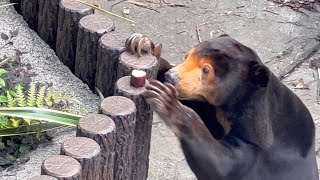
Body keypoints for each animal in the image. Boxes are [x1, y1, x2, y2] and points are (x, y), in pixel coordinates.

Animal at [125, 33, 318, 180]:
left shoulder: (260, 149)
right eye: (187, 56)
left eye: (206, 70)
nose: (171, 77)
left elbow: (221, 165)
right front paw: (143, 44)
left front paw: (166, 100)